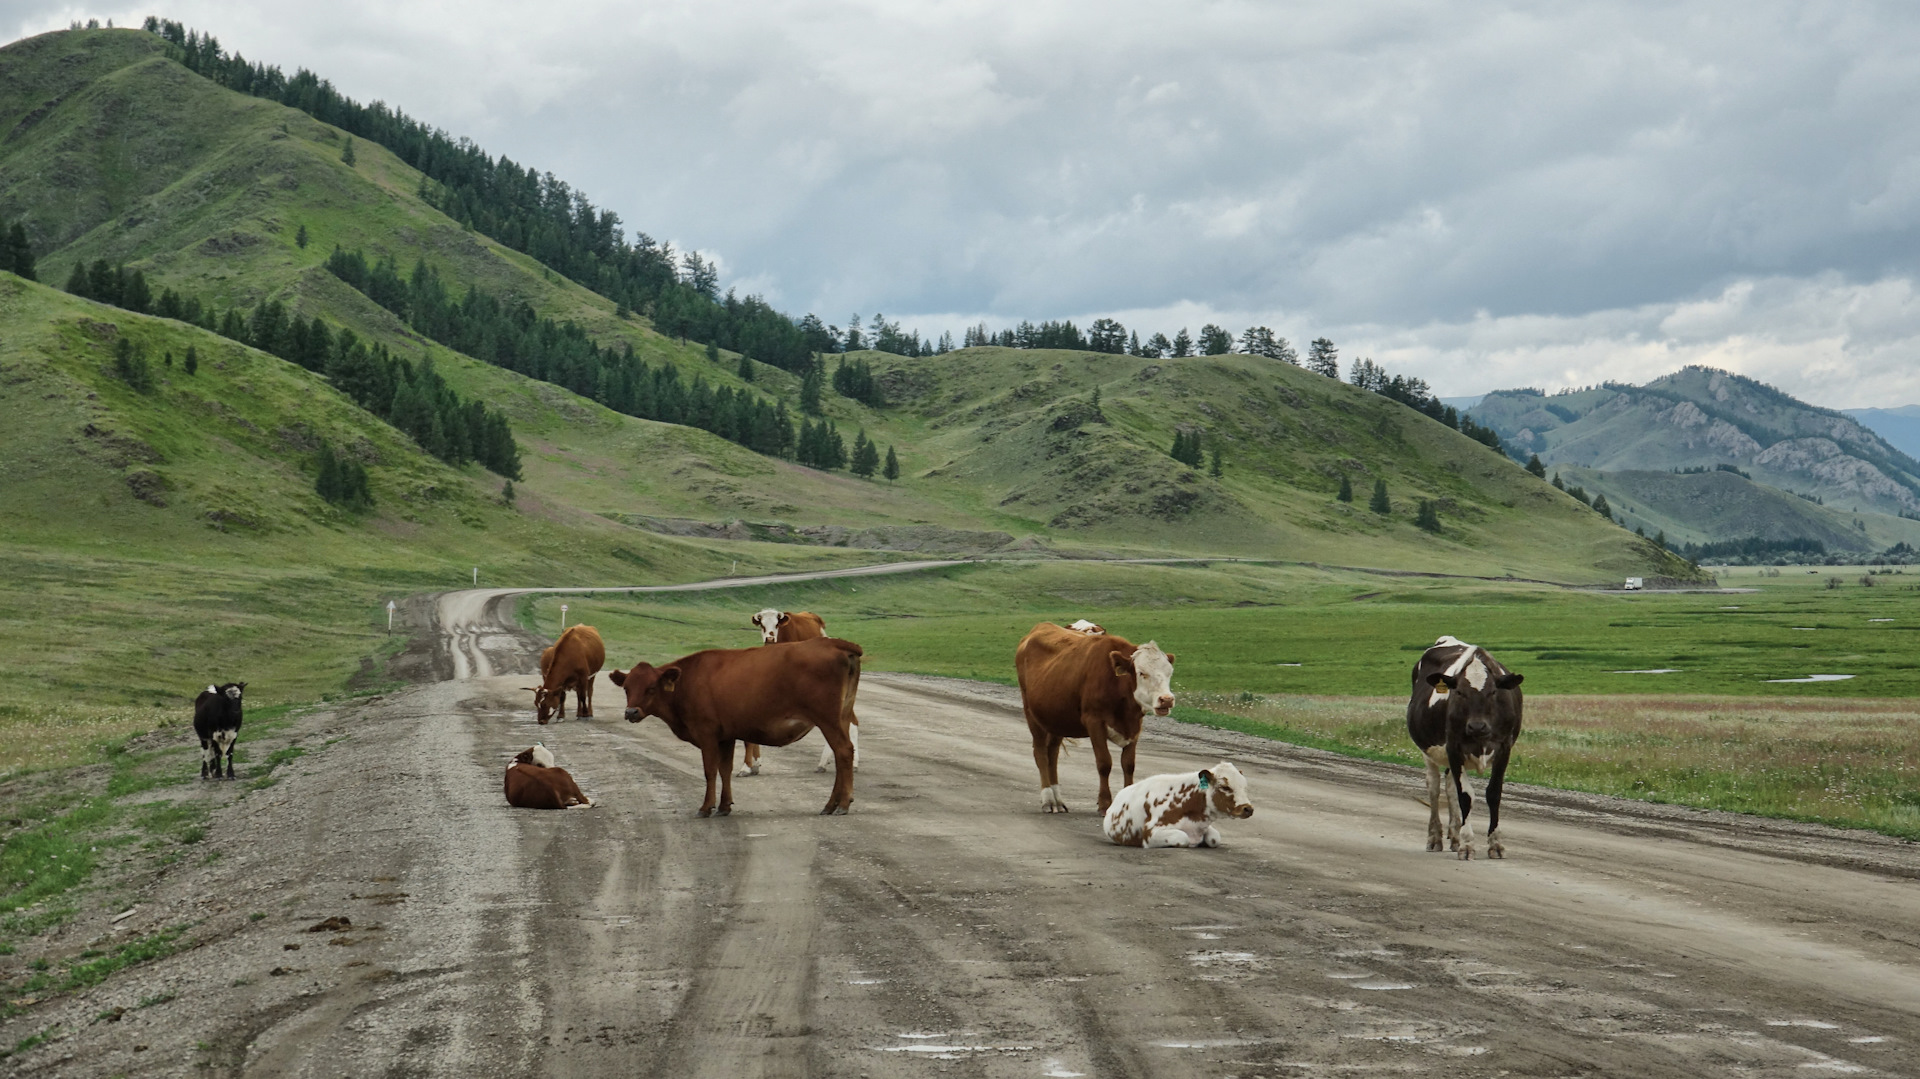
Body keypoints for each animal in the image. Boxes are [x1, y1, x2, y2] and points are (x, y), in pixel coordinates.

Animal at [614, 629, 864, 814]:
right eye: (626, 688)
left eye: (651, 688)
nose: (631, 712)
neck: (689, 681)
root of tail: (835, 644)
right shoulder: (726, 736)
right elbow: (725, 769)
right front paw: (724, 806)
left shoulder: (707, 734)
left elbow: (710, 770)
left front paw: (706, 807)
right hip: (841, 717)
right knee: (842, 753)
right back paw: (832, 804)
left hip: (828, 720)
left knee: (843, 751)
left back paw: (841, 804)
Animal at [1013, 618, 1175, 810]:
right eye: (1142, 673)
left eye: (1169, 673)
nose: (1167, 699)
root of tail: (1040, 626)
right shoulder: (1094, 721)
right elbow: (1104, 763)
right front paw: (1104, 803)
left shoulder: (1135, 725)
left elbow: (1128, 764)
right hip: (1031, 713)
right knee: (1040, 754)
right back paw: (1048, 799)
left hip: (1057, 719)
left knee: (1052, 754)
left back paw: (1058, 798)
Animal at [1105, 760, 1251, 844]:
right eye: (1225, 787)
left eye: (1245, 786)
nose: (1248, 809)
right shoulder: (1151, 832)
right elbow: (1182, 838)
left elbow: (1215, 839)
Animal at [1405, 629, 1520, 856]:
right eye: (1459, 692)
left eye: (1493, 692)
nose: (1477, 726)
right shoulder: (1454, 747)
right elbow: (1465, 796)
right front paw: (1467, 845)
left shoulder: (1504, 747)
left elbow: (1494, 793)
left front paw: (1495, 843)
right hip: (1429, 750)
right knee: (1434, 788)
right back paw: (1435, 837)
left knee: (1450, 788)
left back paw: (1455, 834)